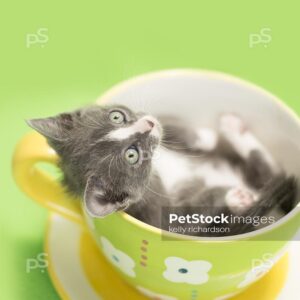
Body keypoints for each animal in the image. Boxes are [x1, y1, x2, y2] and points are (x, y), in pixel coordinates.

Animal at [27, 104, 298, 236]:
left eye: (116, 116)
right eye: (132, 154)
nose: (146, 125)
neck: (157, 167)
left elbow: (168, 121)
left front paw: (204, 137)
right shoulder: (155, 215)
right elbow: (186, 215)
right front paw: (235, 198)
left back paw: (230, 127)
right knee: (268, 173)